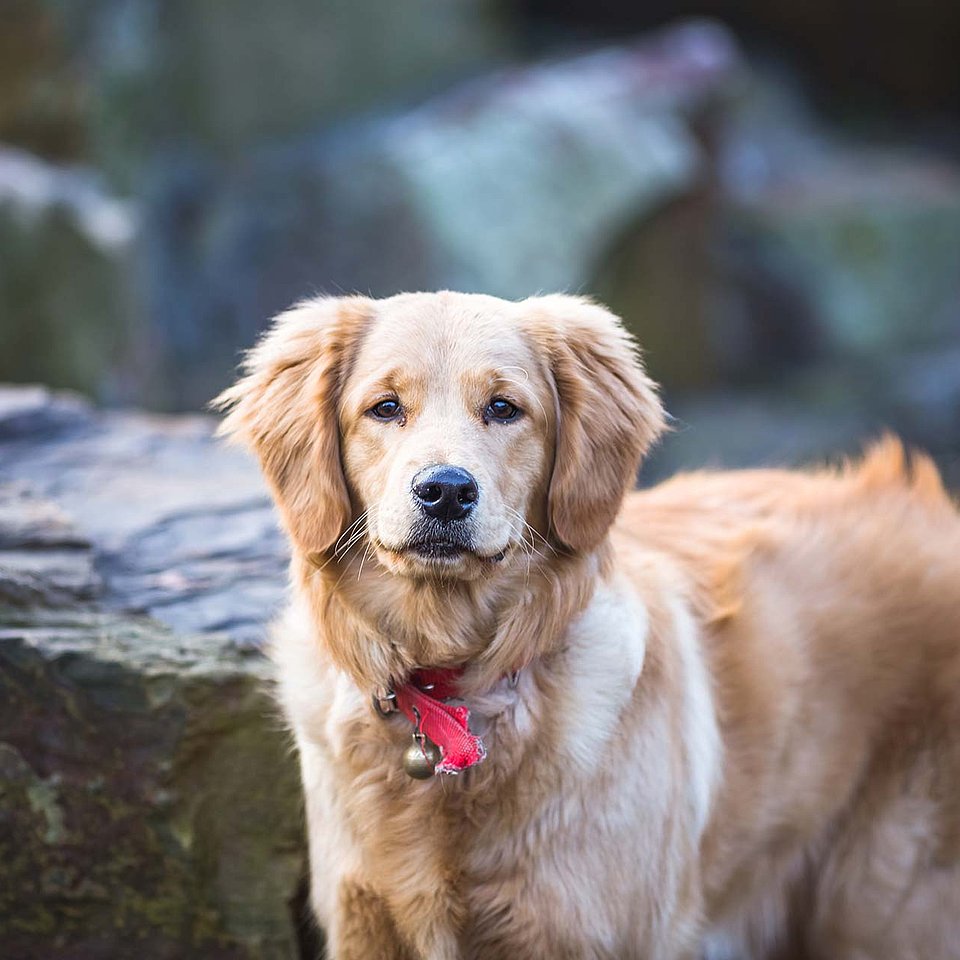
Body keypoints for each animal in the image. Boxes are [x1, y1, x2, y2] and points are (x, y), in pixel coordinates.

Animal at [216, 292, 960, 960]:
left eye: (504, 408)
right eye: (385, 407)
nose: (446, 491)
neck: (458, 688)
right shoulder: (366, 924)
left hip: (887, 907)